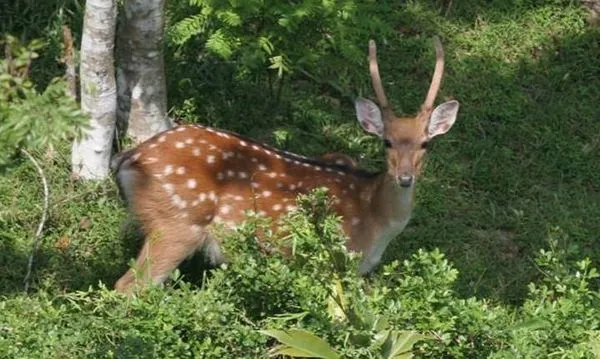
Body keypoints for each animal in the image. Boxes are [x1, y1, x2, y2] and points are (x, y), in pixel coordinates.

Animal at [111, 38, 460, 294]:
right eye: (387, 141)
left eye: (425, 143)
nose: (405, 177)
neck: (376, 221)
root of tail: (131, 158)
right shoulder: (332, 259)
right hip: (176, 224)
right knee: (128, 287)